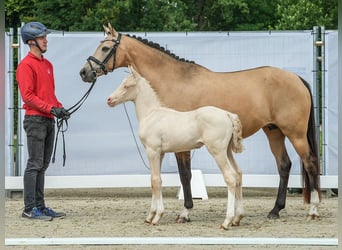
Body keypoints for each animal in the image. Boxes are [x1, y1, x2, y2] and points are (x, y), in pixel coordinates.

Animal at [108, 67, 244, 230]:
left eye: (127, 86)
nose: (109, 100)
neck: (151, 114)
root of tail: (227, 114)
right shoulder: (160, 153)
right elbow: (154, 181)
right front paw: (150, 216)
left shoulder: (152, 151)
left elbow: (156, 180)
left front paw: (157, 217)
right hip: (228, 151)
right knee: (238, 174)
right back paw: (237, 218)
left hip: (217, 152)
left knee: (230, 177)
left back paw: (226, 221)